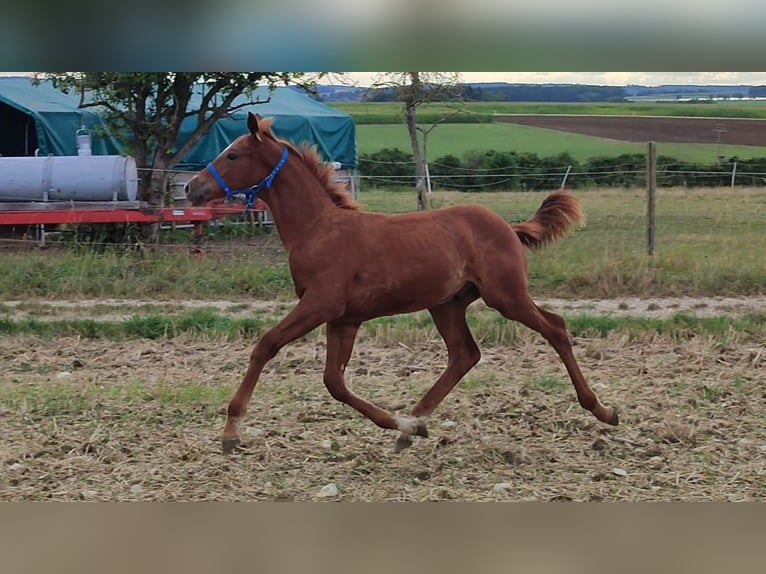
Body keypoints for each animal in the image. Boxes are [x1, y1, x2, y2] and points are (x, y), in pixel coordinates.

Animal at [184, 112, 616, 454]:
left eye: (233, 154)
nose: (192, 187)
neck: (319, 228)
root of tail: (508, 227)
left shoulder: (320, 304)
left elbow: (267, 345)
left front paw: (230, 431)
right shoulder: (344, 318)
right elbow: (334, 382)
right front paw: (405, 424)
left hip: (506, 295)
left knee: (555, 328)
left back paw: (603, 409)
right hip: (447, 303)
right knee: (465, 355)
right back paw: (414, 425)